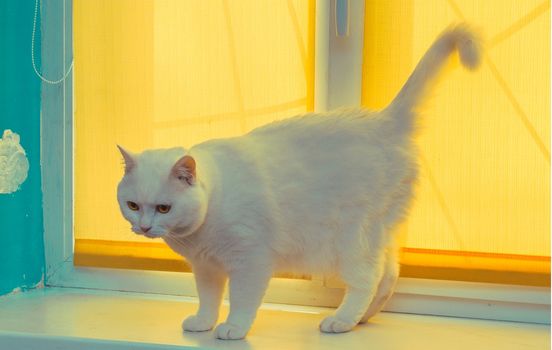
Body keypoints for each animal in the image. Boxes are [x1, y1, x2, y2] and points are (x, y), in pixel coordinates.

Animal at [117, 25, 484, 340]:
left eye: (164, 208)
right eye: (132, 205)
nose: (144, 227)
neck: (200, 229)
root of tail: (384, 121)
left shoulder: (250, 261)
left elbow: (242, 299)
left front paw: (234, 328)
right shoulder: (207, 268)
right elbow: (208, 299)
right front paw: (204, 322)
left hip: (354, 239)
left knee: (368, 279)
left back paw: (341, 320)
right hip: (380, 233)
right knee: (388, 275)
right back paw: (361, 318)